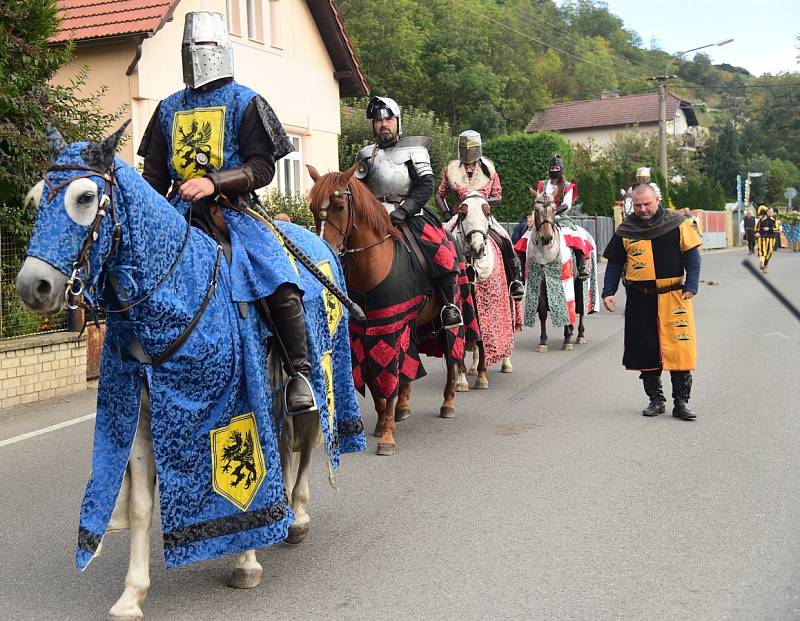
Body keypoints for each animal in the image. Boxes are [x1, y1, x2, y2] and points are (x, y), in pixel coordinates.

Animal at [306, 165, 456, 456]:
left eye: (340, 206)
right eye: (312, 208)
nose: (327, 251)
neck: (372, 264)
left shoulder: (386, 329)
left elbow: (388, 381)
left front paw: (387, 436)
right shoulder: (363, 332)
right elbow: (375, 383)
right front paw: (381, 422)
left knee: (453, 353)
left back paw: (448, 401)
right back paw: (404, 408)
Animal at [444, 191, 520, 390]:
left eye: (488, 212)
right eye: (462, 213)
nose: (477, 248)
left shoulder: (486, 308)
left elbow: (484, 339)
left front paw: (481, 377)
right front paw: (461, 379)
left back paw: (505, 363)